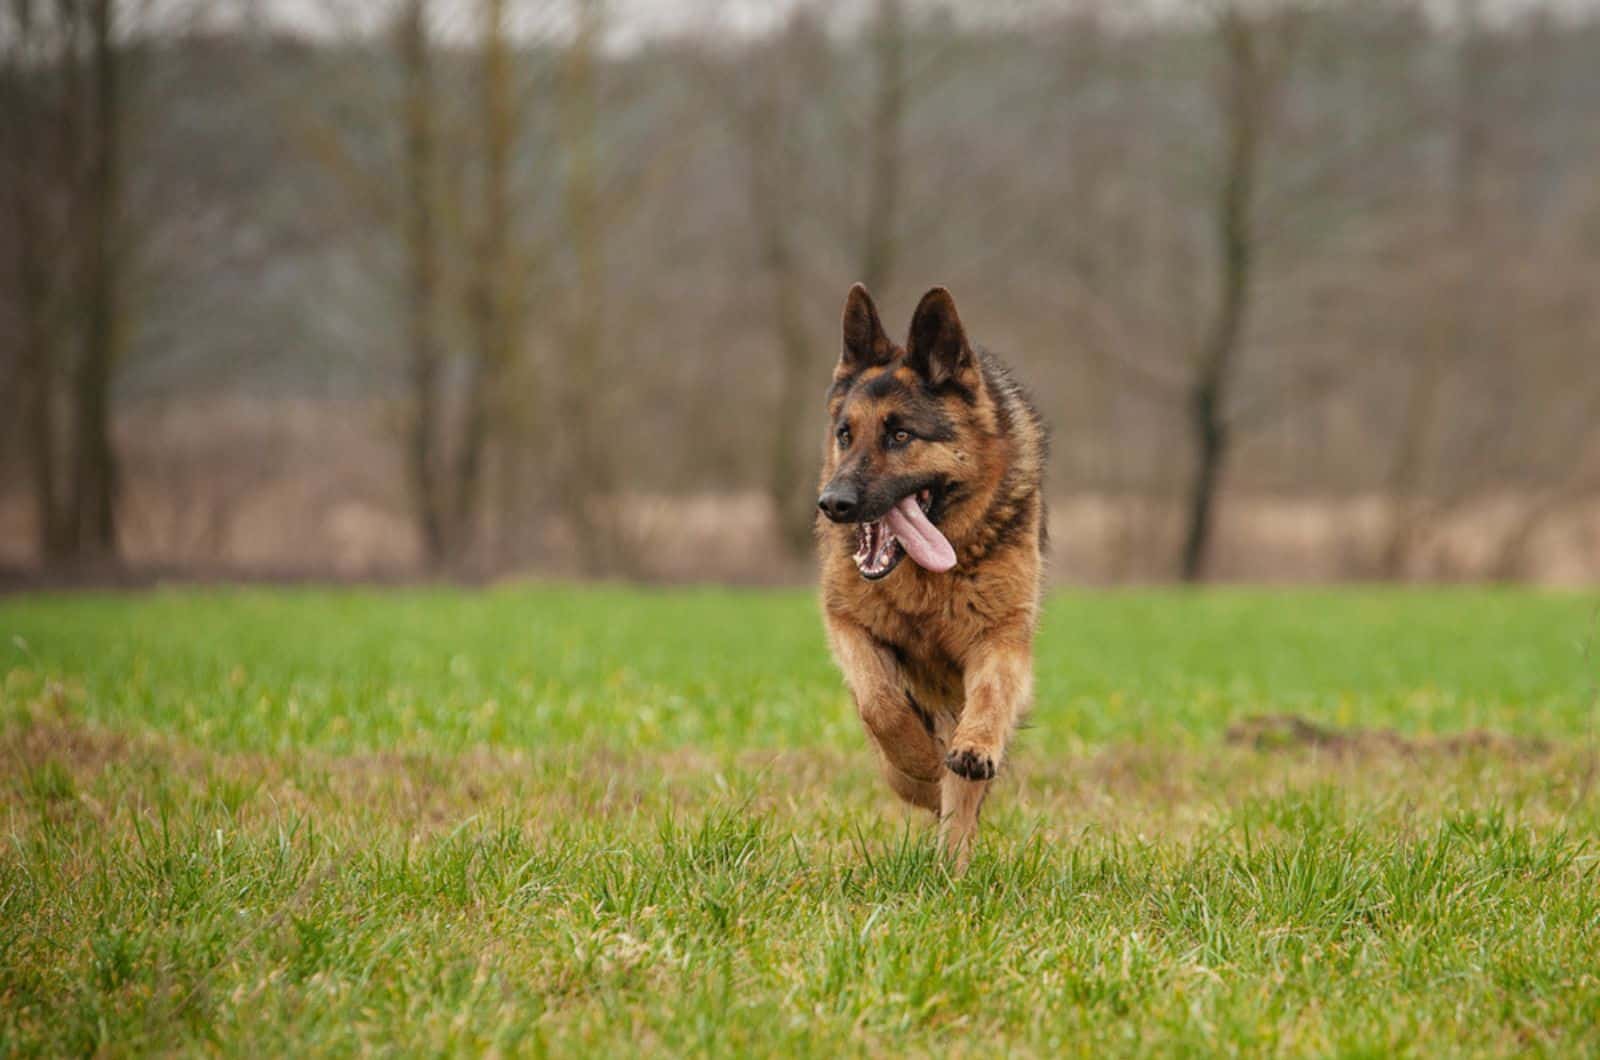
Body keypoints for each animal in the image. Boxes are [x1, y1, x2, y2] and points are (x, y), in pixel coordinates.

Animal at [819, 285, 1043, 871]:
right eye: (845, 435)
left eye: (900, 434)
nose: (832, 503)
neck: (925, 581)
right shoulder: (845, 623)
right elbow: (879, 701)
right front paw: (918, 762)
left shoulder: (1001, 636)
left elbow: (990, 697)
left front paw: (972, 748)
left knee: (961, 798)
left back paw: (952, 866)